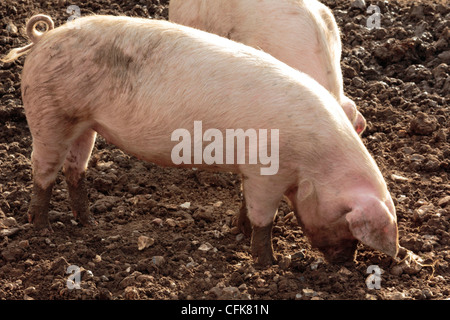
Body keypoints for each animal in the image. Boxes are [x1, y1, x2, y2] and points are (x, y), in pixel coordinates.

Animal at [3, 14, 398, 264]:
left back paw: (89, 224)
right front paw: (270, 263)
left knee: (75, 168)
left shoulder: (252, 170)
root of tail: (43, 37)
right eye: (346, 221)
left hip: (85, 123)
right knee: (43, 170)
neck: (315, 164)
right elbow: (264, 218)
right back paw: (41, 227)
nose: (345, 264)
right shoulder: (268, 173)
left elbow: (246, 204)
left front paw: (237, 231)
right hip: (49, 113)